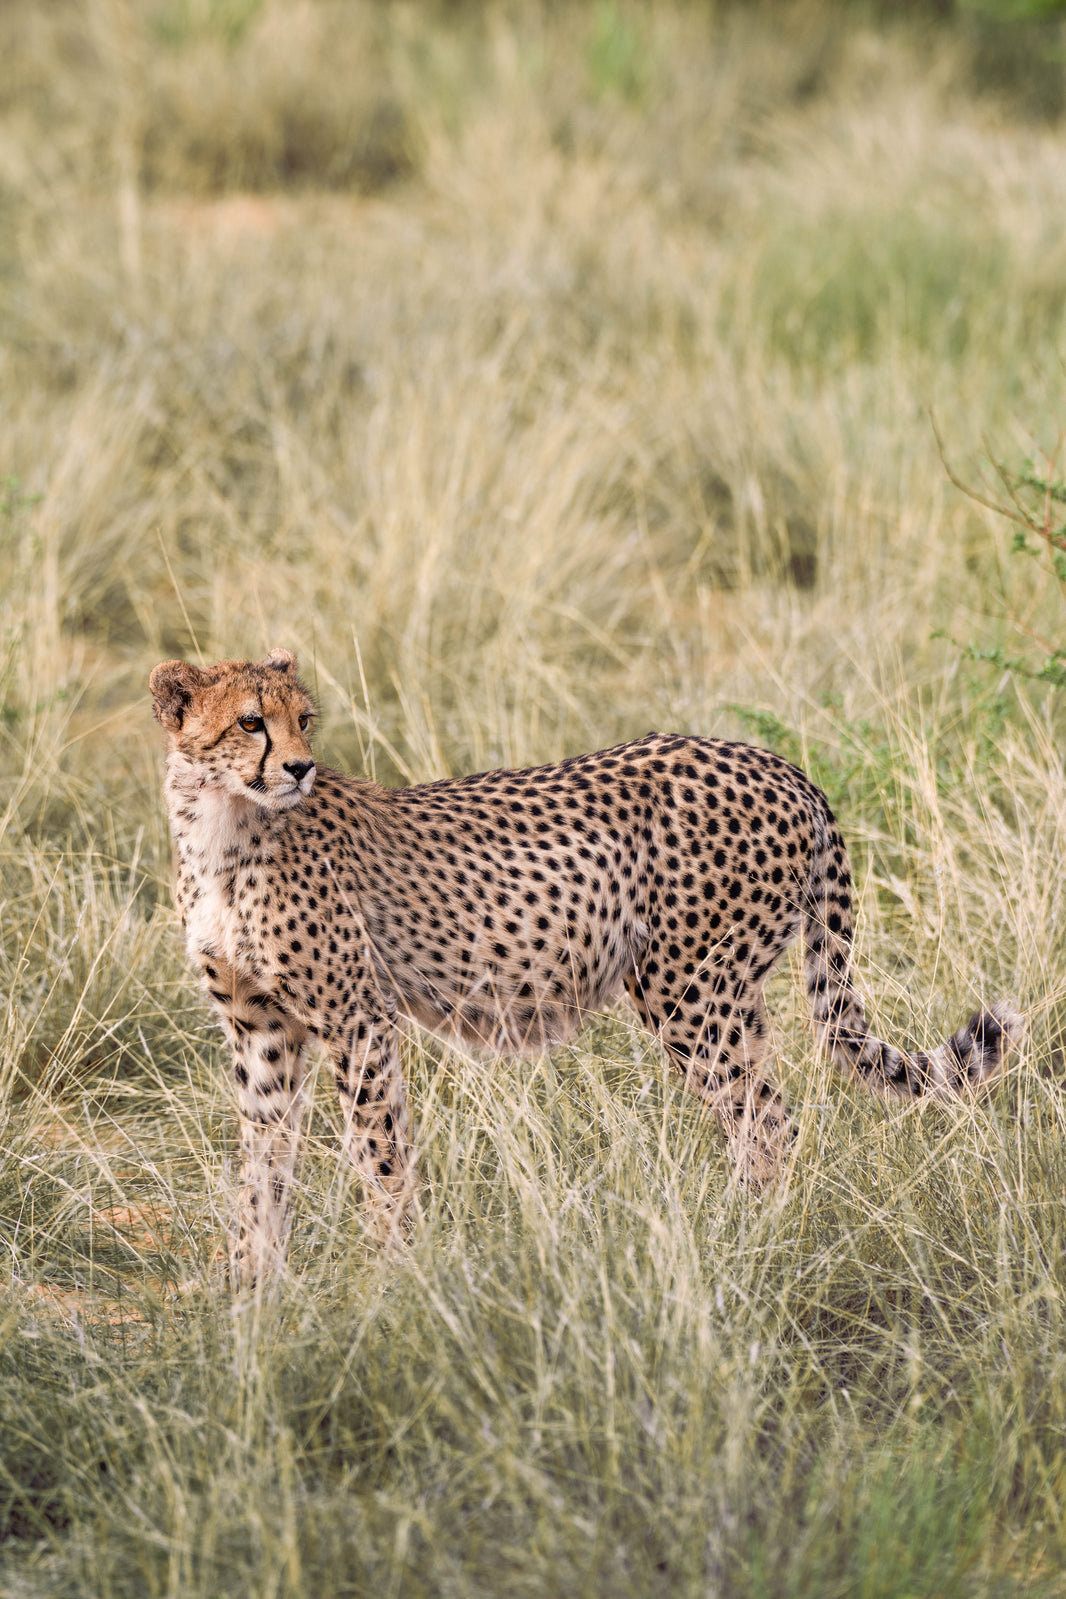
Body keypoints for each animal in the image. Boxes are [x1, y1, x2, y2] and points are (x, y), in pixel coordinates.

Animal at [150, 648, 1023, 1288]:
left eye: (304, 720)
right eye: (252, 721)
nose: (299, 768)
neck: (225, 829)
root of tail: (778, 763)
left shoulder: (357, 1019)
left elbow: (380, 1154)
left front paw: (394, 1276)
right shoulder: (261, 1031)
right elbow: (262, 1164)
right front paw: (252, 1292)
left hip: (686, 988)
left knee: (765, 1118)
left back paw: (743, 1242)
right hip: (725, 991)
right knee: (767, 1108)